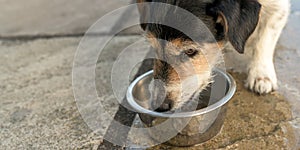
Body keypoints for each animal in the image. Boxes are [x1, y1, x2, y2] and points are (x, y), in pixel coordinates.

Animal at [137, 0, 290, 110]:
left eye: (190, 51)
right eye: (153, 46)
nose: (159, 106)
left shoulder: (278, 7)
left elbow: (265, 38)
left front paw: (261, 75)